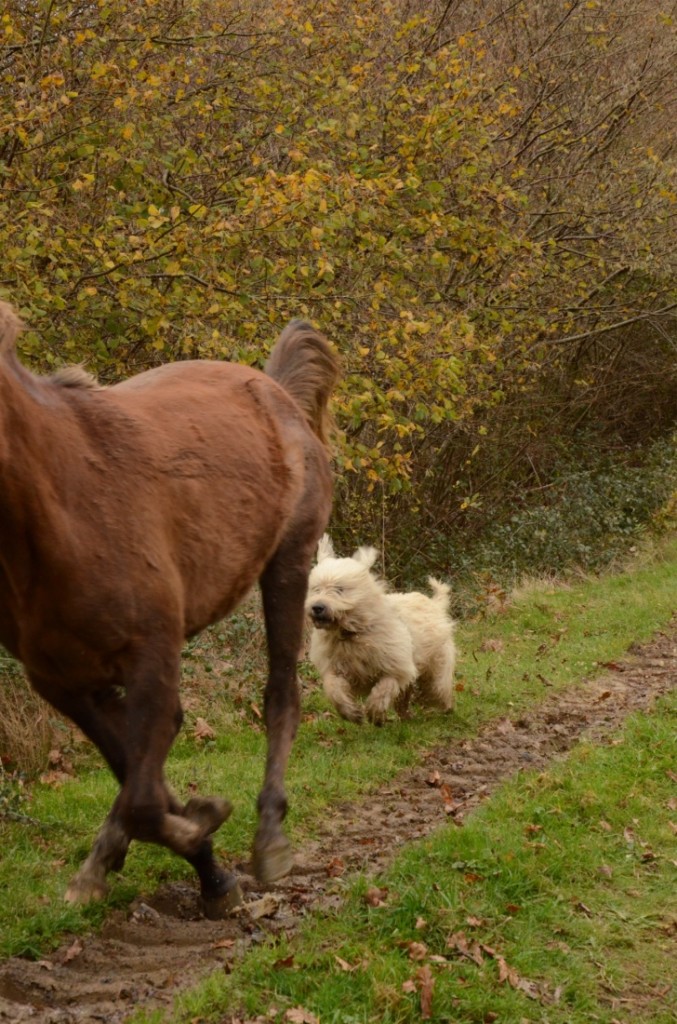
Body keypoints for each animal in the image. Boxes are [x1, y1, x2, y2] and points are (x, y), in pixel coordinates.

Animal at [0, 299, 337, 917]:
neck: (61, 507)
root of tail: (273, 388)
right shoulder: (61, 682)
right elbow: (135, 777)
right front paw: (205, 863)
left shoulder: (151, 654)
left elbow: (142, 797)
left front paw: (205, 826)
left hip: (288, 565)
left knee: (282, 695)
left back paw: (270, 840)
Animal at [305, 536, 454, 729]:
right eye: (316, 589)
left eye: (339, 589)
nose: (317, 607)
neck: (353, 633)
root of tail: (435, 604)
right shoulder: (335, 667)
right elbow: (333, 688)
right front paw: (351, 713)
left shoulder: (395, 665)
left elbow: (384, 688)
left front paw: (375, 713)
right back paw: (406, 715)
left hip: (436, 668)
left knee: (439, 688)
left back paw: (447, 708)